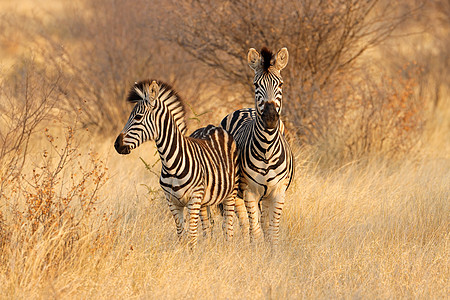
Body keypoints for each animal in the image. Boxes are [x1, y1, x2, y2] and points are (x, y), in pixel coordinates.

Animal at [115, 79, 243, 246]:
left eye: (137, 117)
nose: (117, 145)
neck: (171, 162)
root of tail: (213, 127)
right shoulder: (172, 202)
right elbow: (181, 234)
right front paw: (184, 252)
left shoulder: (193, 199)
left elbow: (192, 235)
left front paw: (193, 252)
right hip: (205, 200)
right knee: (208, 227)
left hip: (230, 192)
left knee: (228, 226)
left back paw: (228, 247)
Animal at [221, 46, 296, 244]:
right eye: (256, 85)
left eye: (281, 84)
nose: (270, 118)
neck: (267, 149)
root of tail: (245, 108)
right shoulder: (250, 192)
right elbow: (255, 231)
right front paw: (256, 251)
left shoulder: (278, 192)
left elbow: (272, 232)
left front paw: (273, 251)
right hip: (236, 193)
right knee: (242, 224)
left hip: (266, 196)